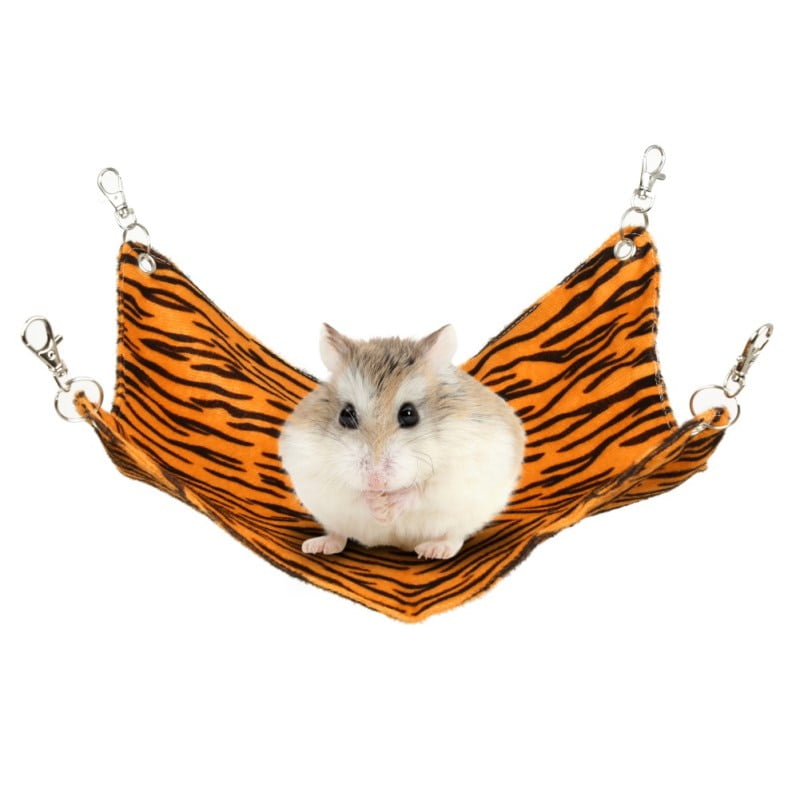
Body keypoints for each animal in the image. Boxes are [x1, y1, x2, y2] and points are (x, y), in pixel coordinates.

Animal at [278, 323, 525, 559]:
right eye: (346, 415)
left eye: (409, 414)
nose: (376, 482)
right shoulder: (311, 467)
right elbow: (352, 492)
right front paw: (378, 506)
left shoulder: (461, 470)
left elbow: (423, 489)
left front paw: (388, 507)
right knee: (338, 533)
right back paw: (317, 546)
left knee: (454, 536)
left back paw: (434, 551)